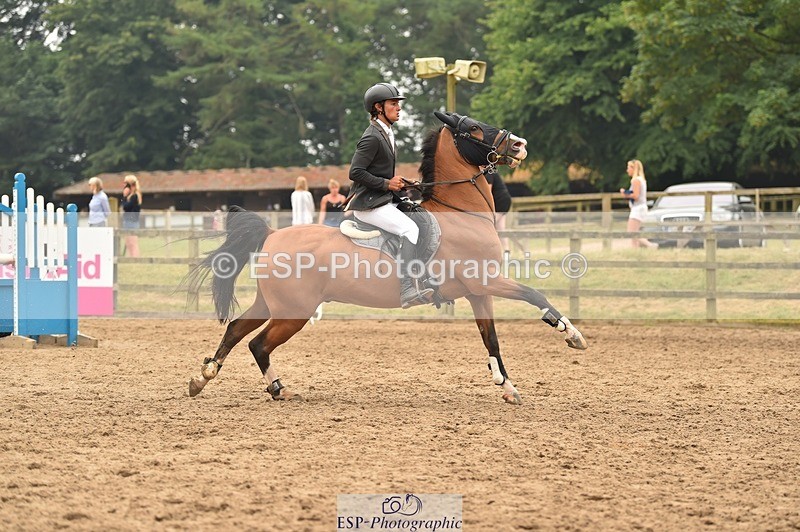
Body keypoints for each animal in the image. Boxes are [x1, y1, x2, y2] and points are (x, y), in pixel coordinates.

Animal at [185, 111, 587, 405]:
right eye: (474, 128)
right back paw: (275, 388)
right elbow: (534, 295)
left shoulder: (478, 292)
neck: (461, 212)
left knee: (237, 330)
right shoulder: (486, 281)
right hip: (293, 312)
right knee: (258, 343)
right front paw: (573, 335)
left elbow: (491, 339)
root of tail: (271, 235)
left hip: (273, 303)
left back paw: (205, 377)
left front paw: (507, 387)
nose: (519, 145)